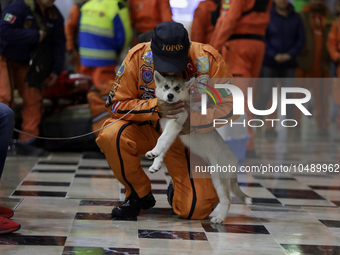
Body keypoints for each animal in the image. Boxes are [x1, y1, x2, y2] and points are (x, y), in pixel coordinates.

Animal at [145, 70, 251, 223]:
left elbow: (161, 140)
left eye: (177, 88)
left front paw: (153, 151)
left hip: (219, 178)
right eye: (166, 87)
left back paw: (219, 218)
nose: (170, 96)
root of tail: (235, 160)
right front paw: (155, 162)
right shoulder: (169, 131)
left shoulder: (175, 124)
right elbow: (163, 146)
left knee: (227, 199)